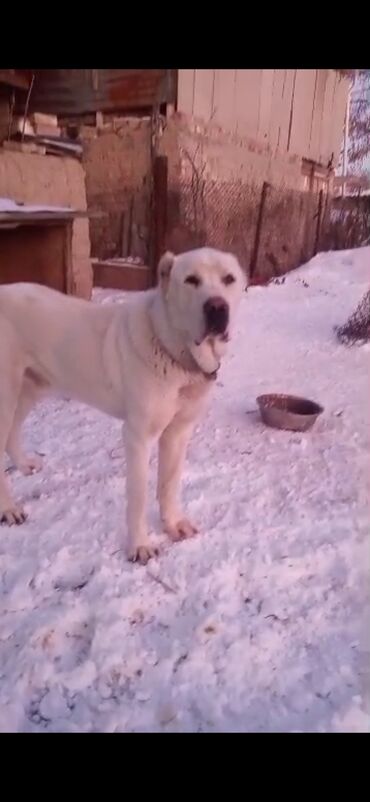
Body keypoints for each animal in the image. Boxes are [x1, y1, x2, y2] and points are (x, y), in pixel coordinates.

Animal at [0, 247, 246, 560]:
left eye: (229, 279)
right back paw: (8, 509)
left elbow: (169, 483)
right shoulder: (138, 436)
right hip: (7, 394)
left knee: (12, 432)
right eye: (191, 280)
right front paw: (140, 546)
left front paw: (173, 524)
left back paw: (23, 465)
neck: (173, 349)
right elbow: (138, 496)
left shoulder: (178, 432)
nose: (217, 307)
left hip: (31, 387)